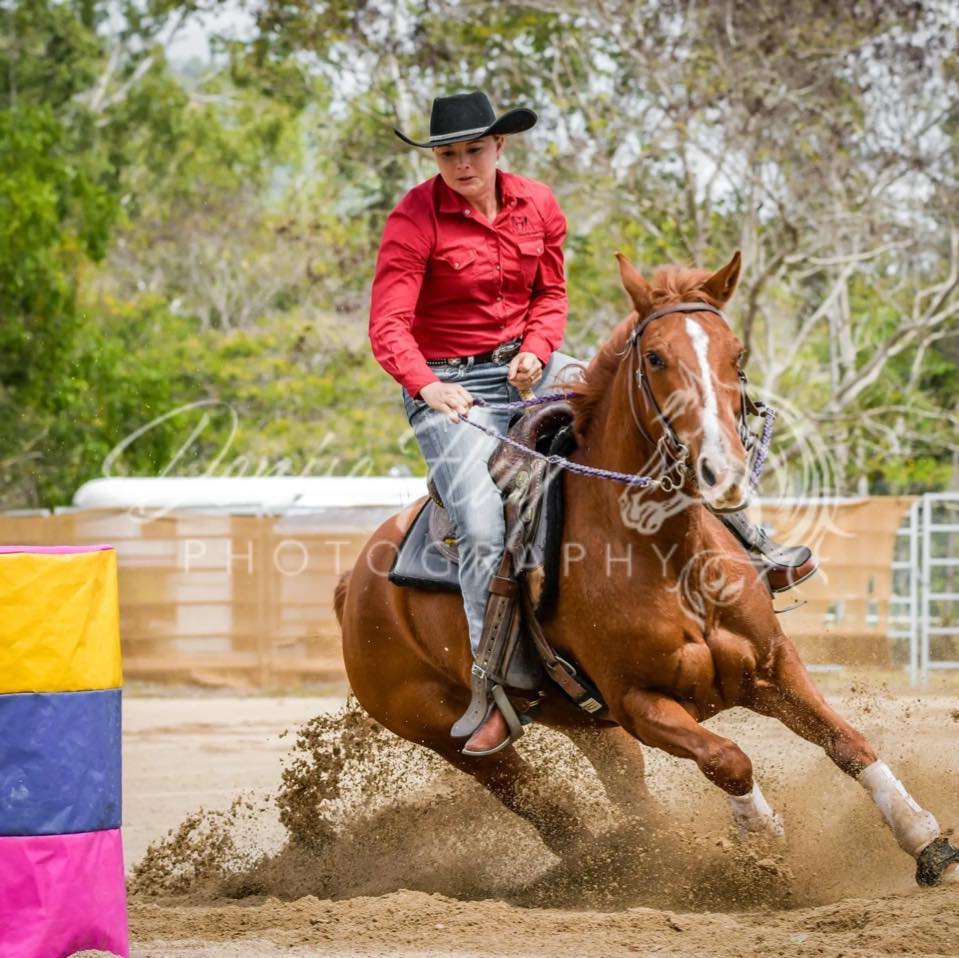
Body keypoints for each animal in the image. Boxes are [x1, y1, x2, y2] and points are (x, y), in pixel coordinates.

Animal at [337, 251, 959, 886]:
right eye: (656, 357)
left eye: (737, 354)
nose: (723, 471)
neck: (668, 557)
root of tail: (354, 585)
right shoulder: (639, 703)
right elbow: (729, 759)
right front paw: (762, 839)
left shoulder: (771, 666)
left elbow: (847, 740)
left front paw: (922, 836)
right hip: (445, 734)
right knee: (543, 805)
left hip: (591, 728)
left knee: (628, 792)